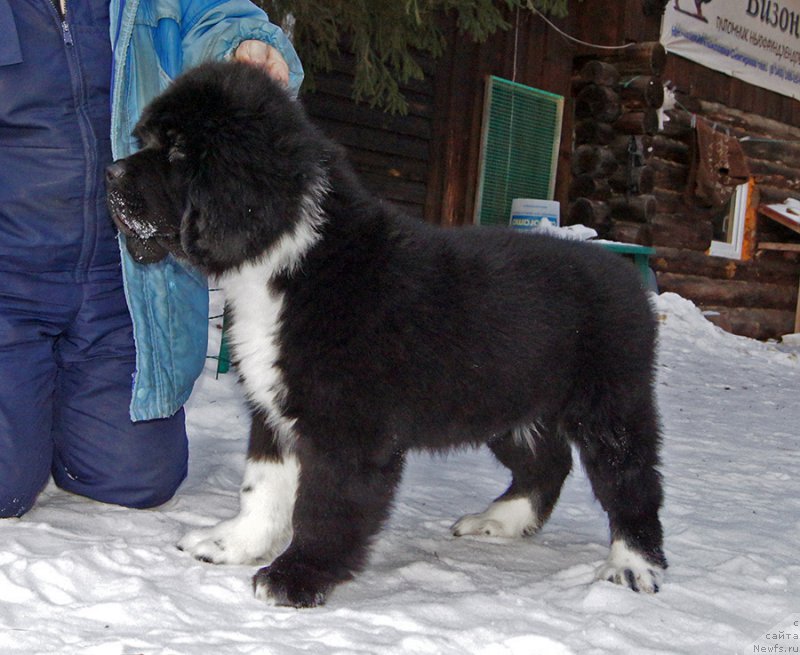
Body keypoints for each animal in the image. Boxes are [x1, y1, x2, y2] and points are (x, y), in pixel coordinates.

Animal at [106, 61, 668, 608]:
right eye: (148, 140)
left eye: (178, 151)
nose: (109, 173)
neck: (291, 258)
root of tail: (625, 275)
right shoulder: (276, 405)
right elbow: (261, 484)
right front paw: (233, 543)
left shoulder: (346, 425)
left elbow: (325, 504)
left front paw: (297, 577)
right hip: (508, 403)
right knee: (546, 463)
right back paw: (502, 520)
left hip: (610, 404)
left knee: (631, 480)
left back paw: (633, 564)